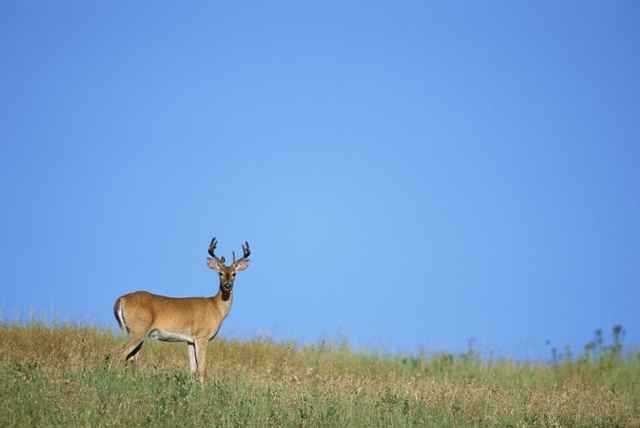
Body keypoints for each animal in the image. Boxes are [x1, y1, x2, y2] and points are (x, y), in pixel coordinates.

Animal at [113, 237, 251, 382]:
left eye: (234, 274)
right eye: (220, 273)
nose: (227, 285)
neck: (216, 307)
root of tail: (122, 299)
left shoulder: (189, 340)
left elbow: (193, 369)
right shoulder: (202, 336)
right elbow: (202, 369)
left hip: (133, 331)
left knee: (131, 357)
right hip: (138, 329)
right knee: (119, 353)